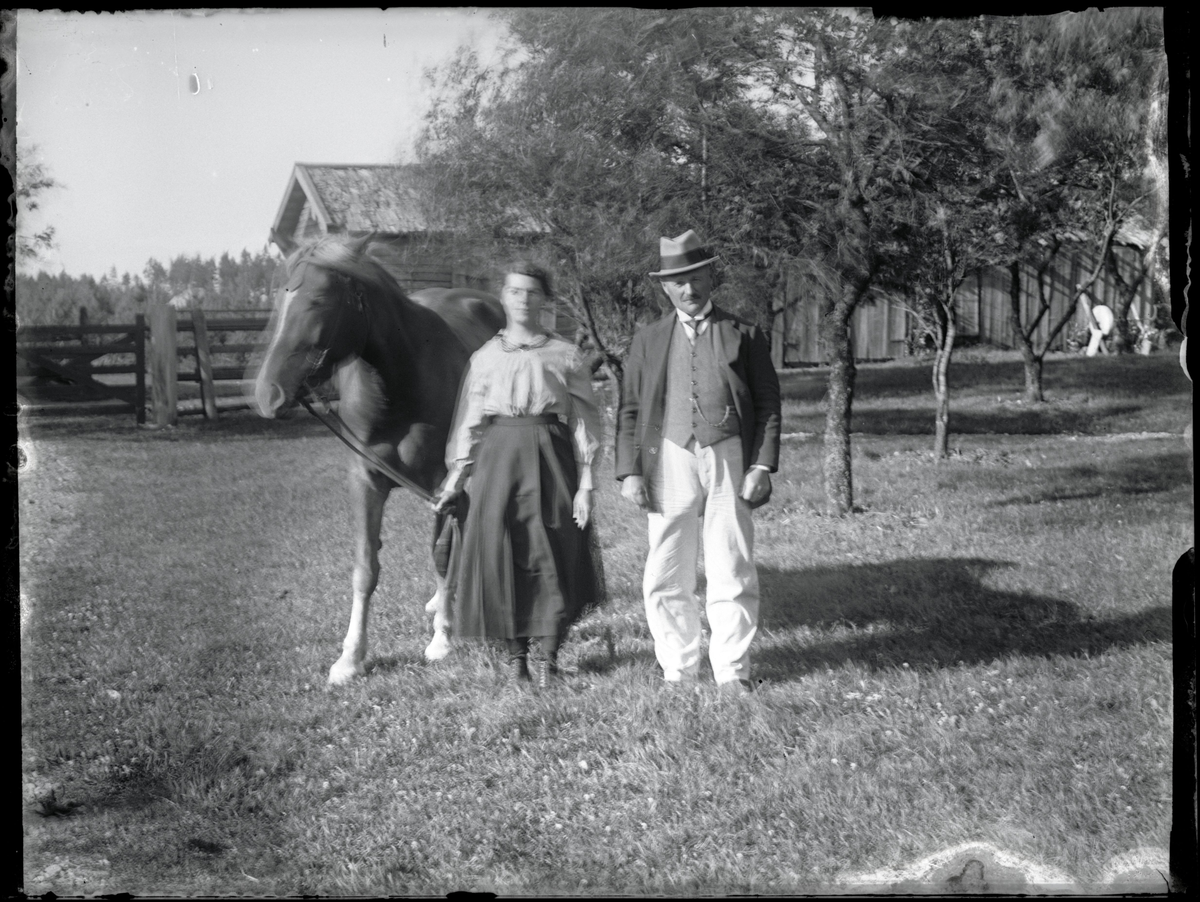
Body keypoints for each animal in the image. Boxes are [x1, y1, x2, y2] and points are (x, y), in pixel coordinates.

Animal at [250, 235, 504, 685]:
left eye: (318, 300)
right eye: (281, 299)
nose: (268, 394)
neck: (399, 381)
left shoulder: (441, 482)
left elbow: (440, 555)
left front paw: (442, 638)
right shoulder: (366, 481)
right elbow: (365, 569)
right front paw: (350, 658)